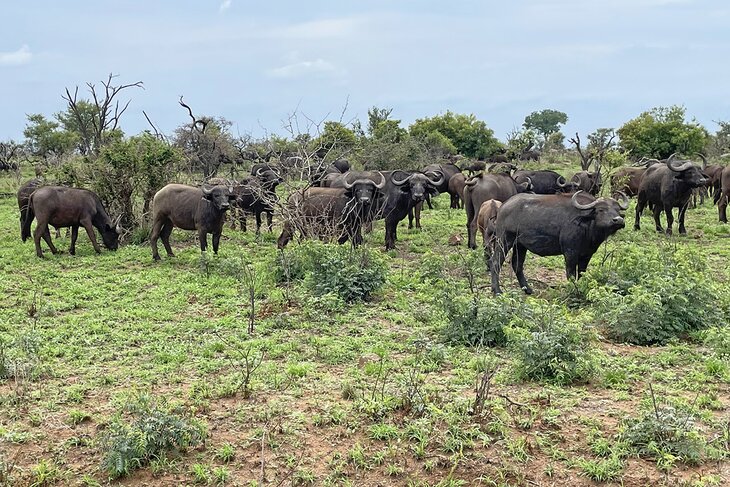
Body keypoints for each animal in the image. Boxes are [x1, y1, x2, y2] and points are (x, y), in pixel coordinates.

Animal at [490, 193, 624, 296]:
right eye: (601, 209)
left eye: (617, 210)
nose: (618, 220)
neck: (587, 225)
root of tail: (503, 206)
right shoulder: (570, 252)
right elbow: (571, 274)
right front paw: (573, 291)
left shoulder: (587, 255)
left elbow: (582, 274)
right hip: (504, 240)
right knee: (495, 262)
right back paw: (497, 291)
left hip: (520, 245)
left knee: (517, 264)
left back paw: (527, 289)